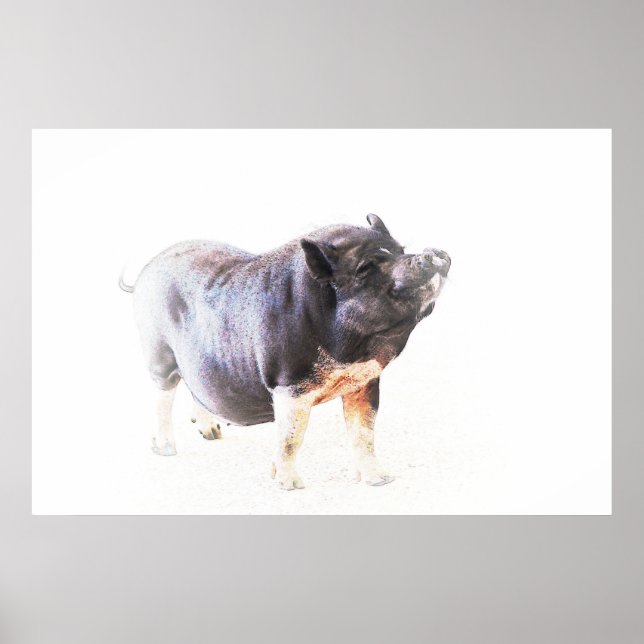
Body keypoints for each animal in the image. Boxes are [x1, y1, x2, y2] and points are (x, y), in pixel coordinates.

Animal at [119, 214, 450, 489]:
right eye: (365, 268)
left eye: (400, 249)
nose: (434, 253)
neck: (352, 352)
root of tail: (147, 269)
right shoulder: (288, 385)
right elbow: (292, 437)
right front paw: (290, 486)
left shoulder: (364, 381)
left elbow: (364, 433)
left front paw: (380, 480)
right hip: (158, 353)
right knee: (163, 397)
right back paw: (166, 450)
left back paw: (213, 434)